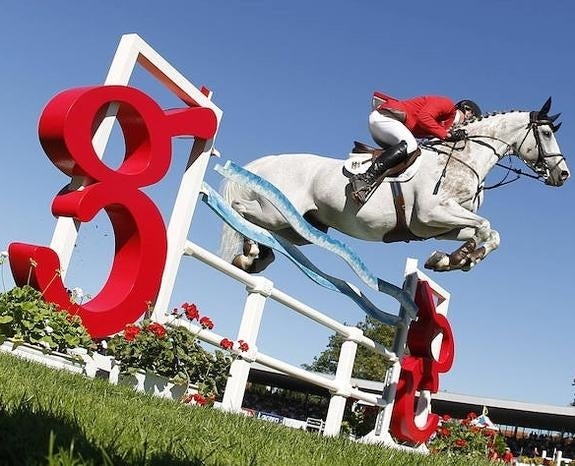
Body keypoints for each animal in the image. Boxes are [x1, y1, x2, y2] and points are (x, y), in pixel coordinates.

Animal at [218, 98, 568, 274]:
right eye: (546, 134)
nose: (563, 175)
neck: (464, 157)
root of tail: (268, 161)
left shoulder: (439, 226)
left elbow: (489, 233)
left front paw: (455, 259)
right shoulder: (431, 213)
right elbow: (485, 226)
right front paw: (460, 258)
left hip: (299, 227)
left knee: (270, 235)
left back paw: (252, 257)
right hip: (276, 210)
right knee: (240, 210)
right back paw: (249, 249)